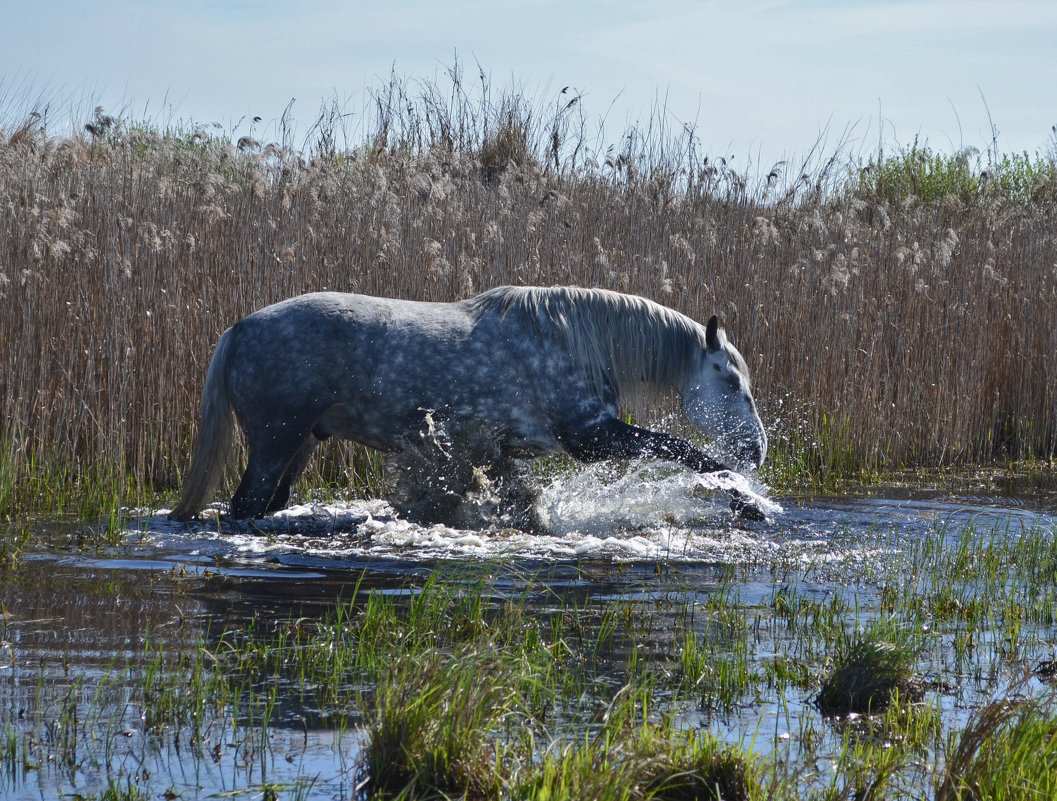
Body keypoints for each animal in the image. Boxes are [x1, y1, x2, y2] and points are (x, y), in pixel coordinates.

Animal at [171, 285, 769, 524]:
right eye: (732, 382)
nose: (757, 451)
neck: (573, 337)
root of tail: (238, 329)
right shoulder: (592, 437)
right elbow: (687, 451)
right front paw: (746, 501)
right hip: (274, 443)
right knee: (245, 507)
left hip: (298, 446)